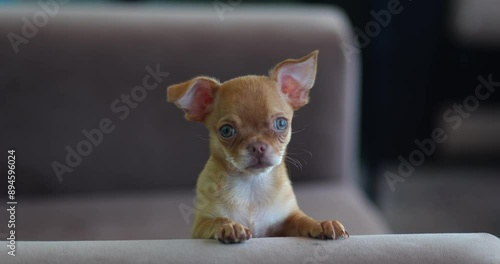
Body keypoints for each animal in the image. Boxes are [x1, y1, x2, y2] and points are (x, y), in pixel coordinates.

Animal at [168, 50, 348, 243]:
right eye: (226, 130)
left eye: (281, 123)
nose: (257, 146)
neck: (251, 184)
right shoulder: (199, 228)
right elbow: (217, 220)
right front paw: (229, 226)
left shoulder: (286, 221)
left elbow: (302, 219)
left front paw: (320, 224)